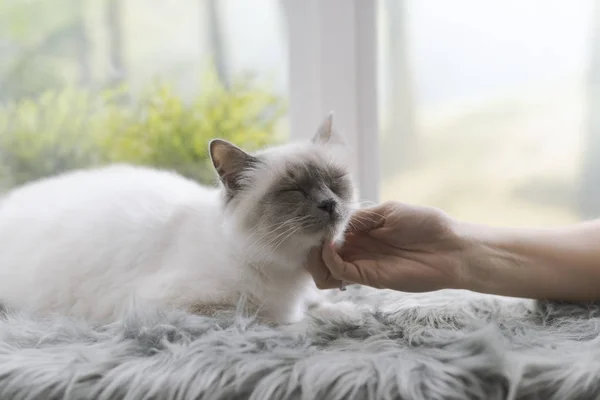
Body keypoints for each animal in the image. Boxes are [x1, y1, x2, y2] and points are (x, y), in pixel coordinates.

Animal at [0, 112, 356, 324]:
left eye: (335, 182)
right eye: (294, 190)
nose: (330, 204)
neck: (288, 275)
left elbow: (318, 305)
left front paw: (343, 313)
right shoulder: (181, 308)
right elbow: (274, 320)